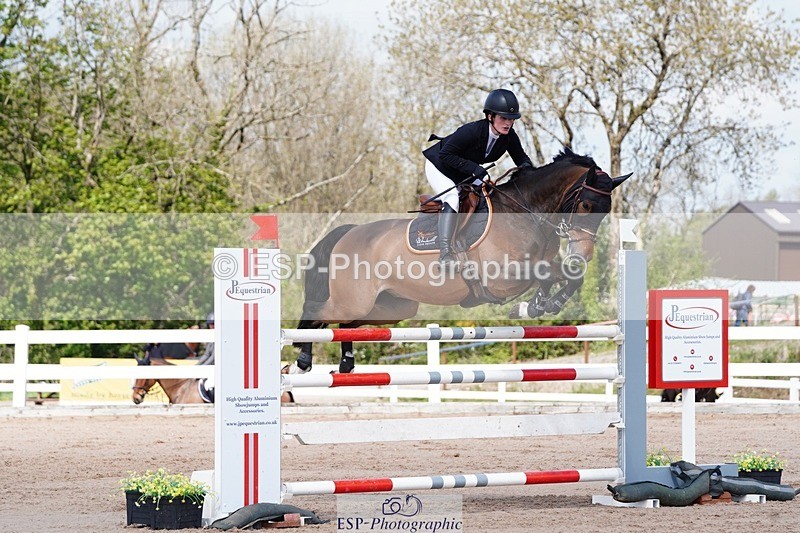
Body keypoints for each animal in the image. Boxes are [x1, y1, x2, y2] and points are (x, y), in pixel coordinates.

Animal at [290, 148, 631, 374]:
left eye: (605, 211)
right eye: (586, 205)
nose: (583, 254)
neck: (527, 212)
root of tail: (348, 233)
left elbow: (569, 277)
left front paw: (540, 305)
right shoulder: (502, 277)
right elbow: (545, 274)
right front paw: (533, 305)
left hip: (389, 309)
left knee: (345, 325)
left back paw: (345, 364)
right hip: (354, 301)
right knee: (317, 314)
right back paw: (302, 361)